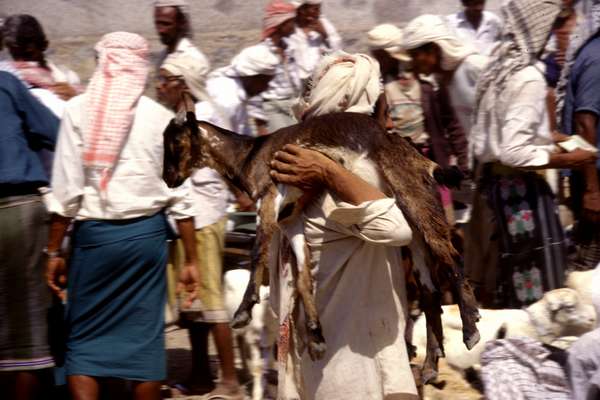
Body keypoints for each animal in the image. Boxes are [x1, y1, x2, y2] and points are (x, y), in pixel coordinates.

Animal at [164, 109, 482, 378]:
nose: (168, 179)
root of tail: (419, 156)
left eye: (175, 142)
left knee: (450, 256)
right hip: (411, 229)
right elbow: (303, 275)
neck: (248, 155)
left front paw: (243, 312)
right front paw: (316, 337)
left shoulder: (269, 200)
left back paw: (470, 328)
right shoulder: (291, 219)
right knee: (429, 290)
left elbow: (257, 253)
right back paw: (430, 365)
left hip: (413, 194)